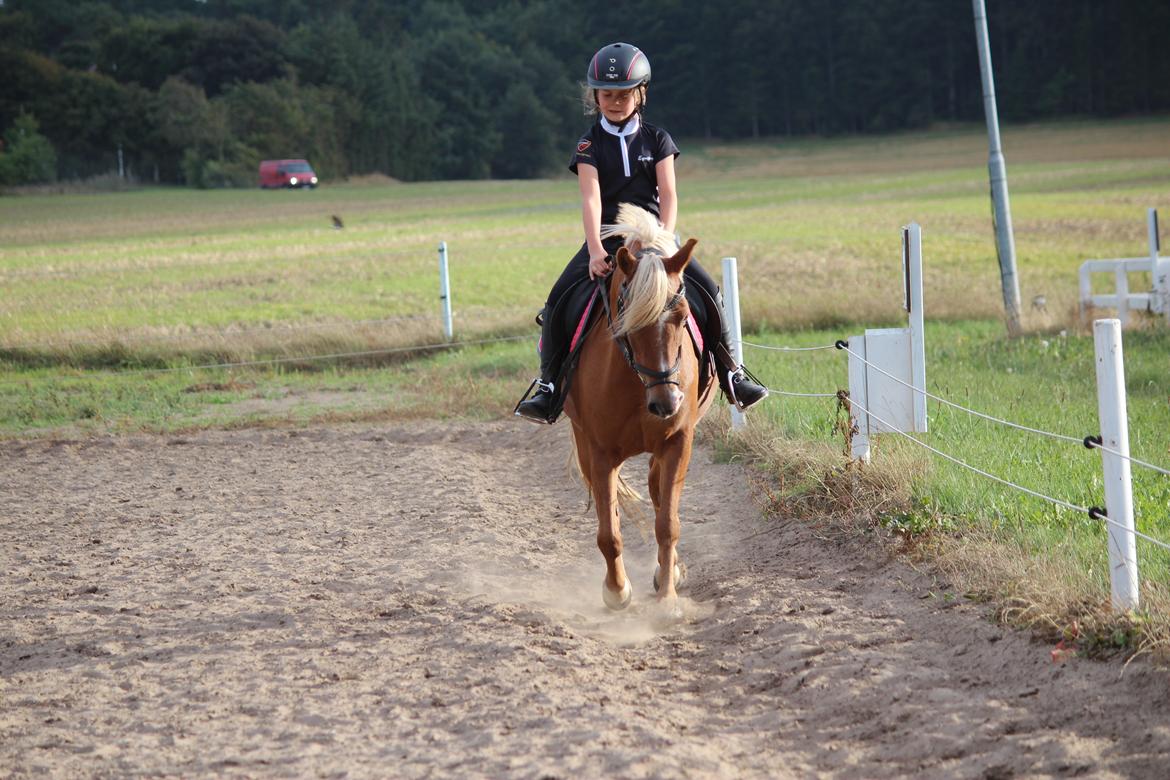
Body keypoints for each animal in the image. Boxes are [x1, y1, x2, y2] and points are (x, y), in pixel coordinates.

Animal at [563, 204, 716, 612]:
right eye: (629, 320)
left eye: (682, 316)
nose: (667, 403)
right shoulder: (600, 451)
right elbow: (609, 532)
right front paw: (617, 591)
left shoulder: (678, 441)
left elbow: (668, 523)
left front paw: (667, 597)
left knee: (658, 495)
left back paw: (668, 571)